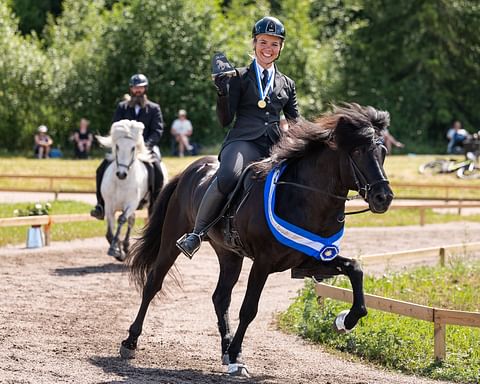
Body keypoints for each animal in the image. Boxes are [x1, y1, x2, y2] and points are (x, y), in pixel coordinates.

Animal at [96, 120, 167, 260]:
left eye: (133, 148)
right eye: (117, 146)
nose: (121, 174)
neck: (121, 182)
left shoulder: (131, 203)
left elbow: (121, 219)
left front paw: (115, 249)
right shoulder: (109, 205)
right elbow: (110, 230)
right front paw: (117, 250)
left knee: (130, 220)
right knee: (131, 221)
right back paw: (125, 246)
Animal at [120, 103, 394, 376]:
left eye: (383, 152)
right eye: (357, 151)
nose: (384, 197)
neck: (304, 197)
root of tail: (191, 169)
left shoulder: (310, 260)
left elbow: (355, 269)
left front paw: (345, 320)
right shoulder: (263, 262)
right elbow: (249, 309)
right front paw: (237, 359)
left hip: (229, 255)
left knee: (220, 297)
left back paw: (226, 348)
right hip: (172, 240)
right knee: (153, 283)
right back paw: (130, 342)